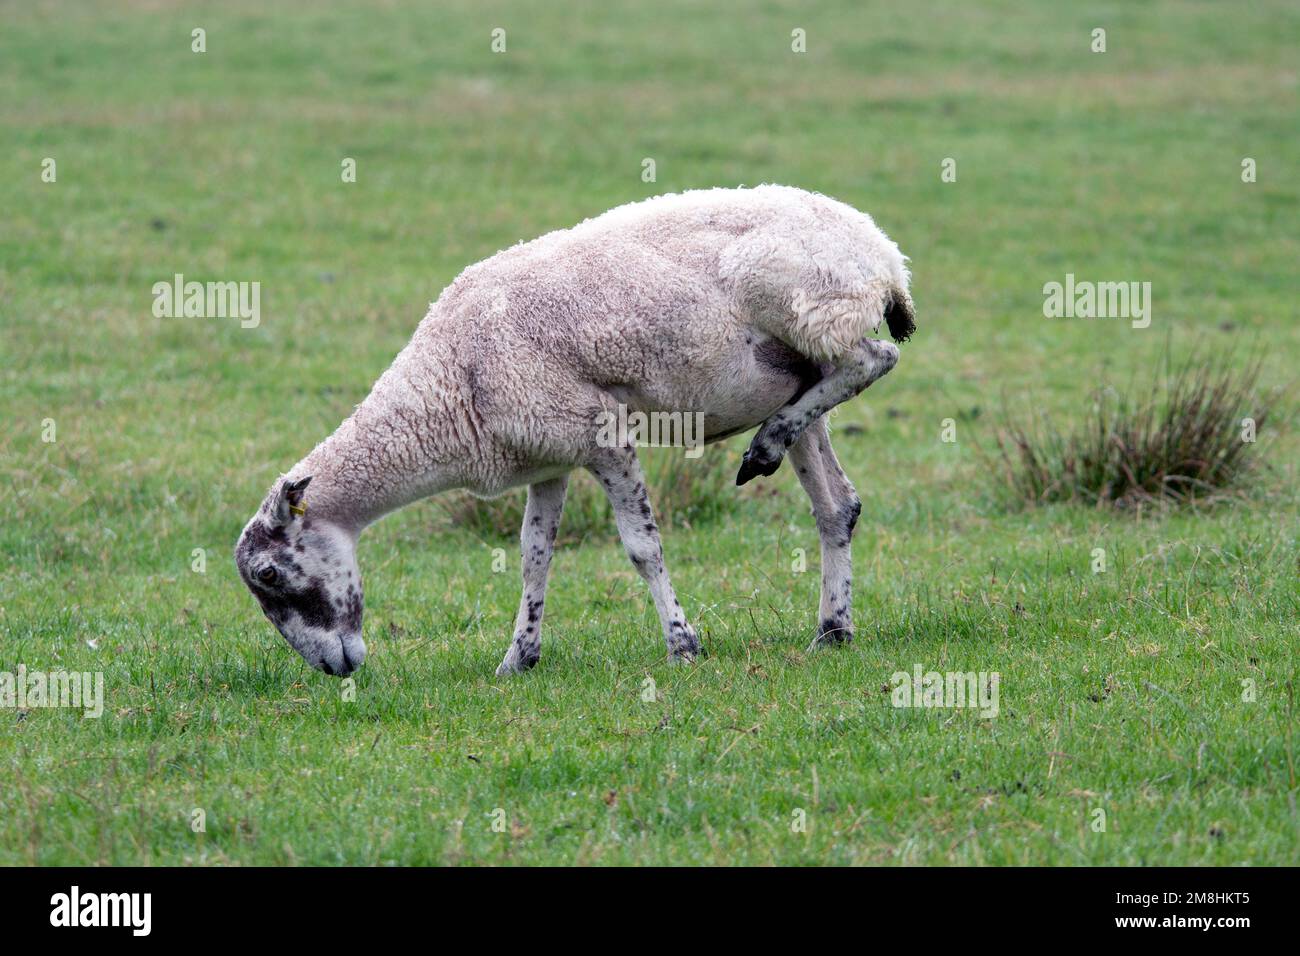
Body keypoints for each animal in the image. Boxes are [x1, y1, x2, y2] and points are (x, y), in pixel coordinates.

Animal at [234, 184, 915, 678]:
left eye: (269, 574)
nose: (334, 669)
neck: (450, 383)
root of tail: (884, 253)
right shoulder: (549, 457)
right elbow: (533, 557)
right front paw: (518, 659)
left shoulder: (602, 436)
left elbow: (642, 548)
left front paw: (683, 645)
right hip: (793, 369)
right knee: (837, 505)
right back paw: (832, 629)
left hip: (814, 306)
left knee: (876, 359)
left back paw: (764, 450)